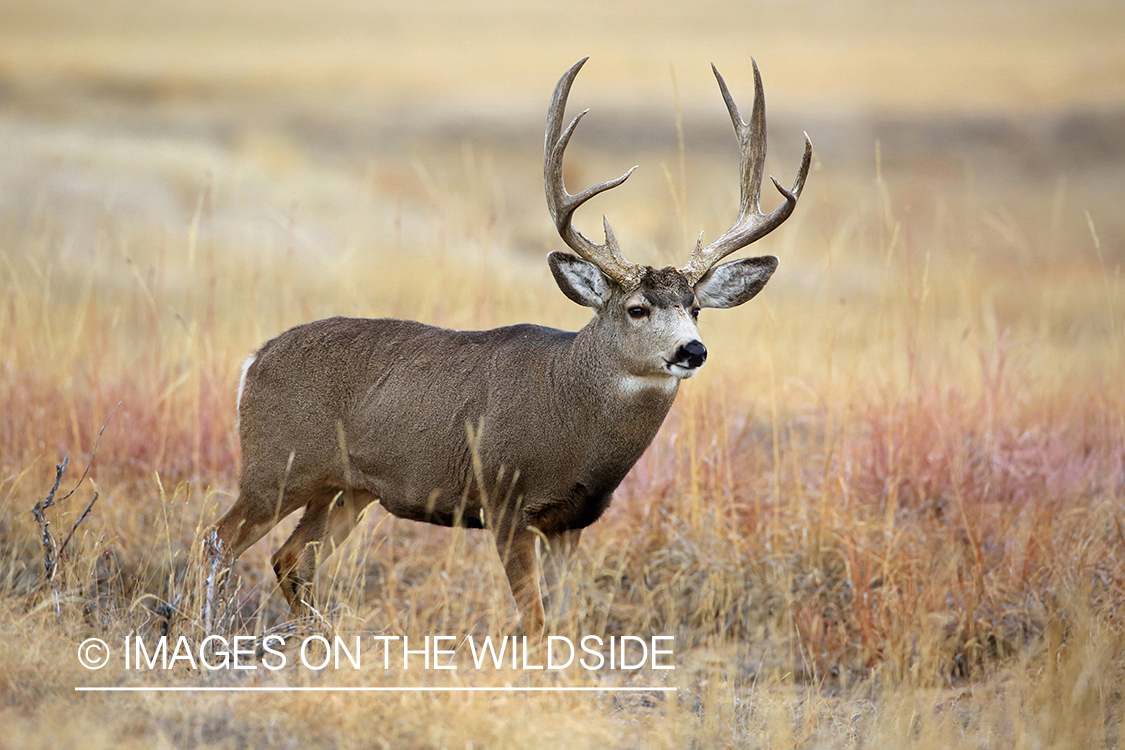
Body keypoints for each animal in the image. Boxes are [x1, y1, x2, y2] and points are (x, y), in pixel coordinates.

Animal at [204, 57, 810, 638]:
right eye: (637, 308)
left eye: (696, 309)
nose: (692, 351)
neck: (574, 419)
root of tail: (253, 360)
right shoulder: (505, 500)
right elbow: (535, 622)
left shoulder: (573, 520)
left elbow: (564, 621)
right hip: (275, 464)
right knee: (220, 539)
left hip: (344, 489)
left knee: (291, 560)